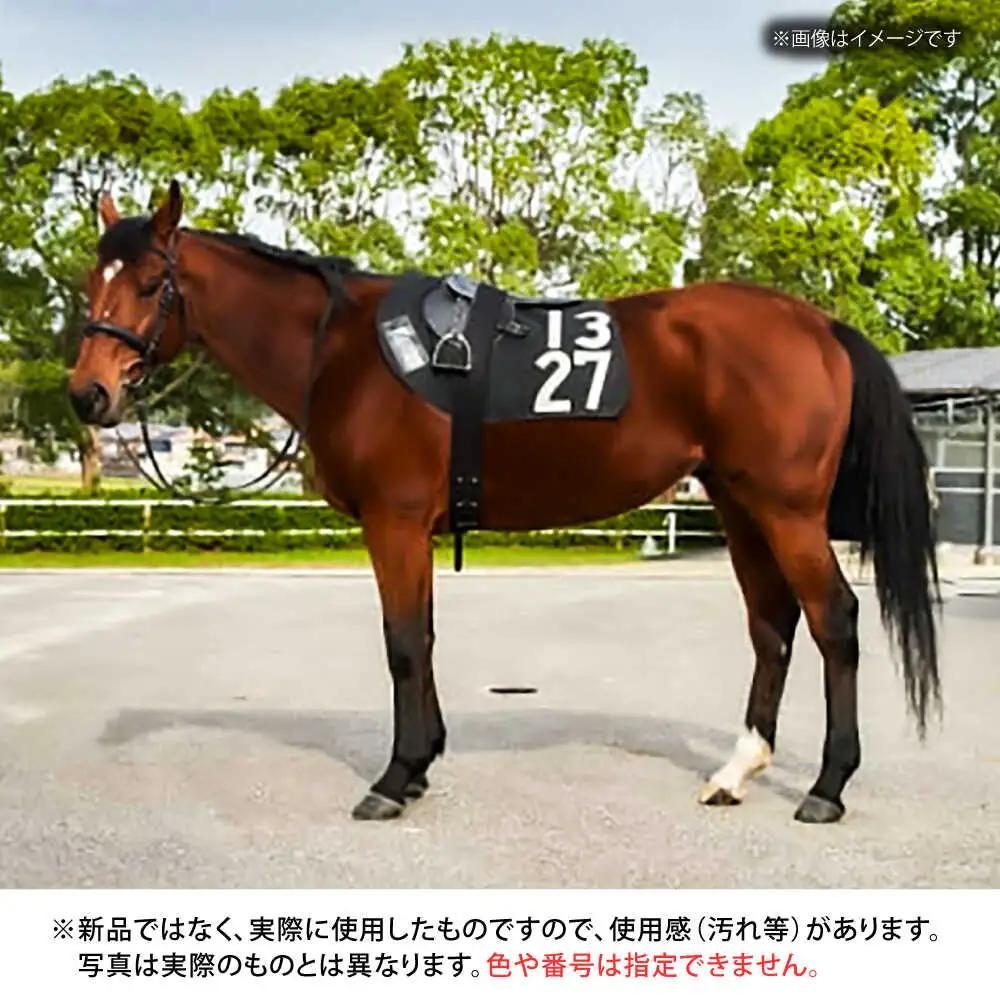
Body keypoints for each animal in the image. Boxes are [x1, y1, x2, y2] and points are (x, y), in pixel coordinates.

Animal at [68, 181, 940, 825]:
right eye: (89, 282)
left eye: (151, 283)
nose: (89, 393)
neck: (344, 350)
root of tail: (820, 326)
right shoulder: (410, 529)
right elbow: (421, 637)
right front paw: (420, 765)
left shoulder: (394, 522)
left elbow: (403, 642)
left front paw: (395, 778)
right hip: (737, 502)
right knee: (772, 624)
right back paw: (737, 770)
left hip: (786, 510)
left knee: (833, 620)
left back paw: (827, 788)